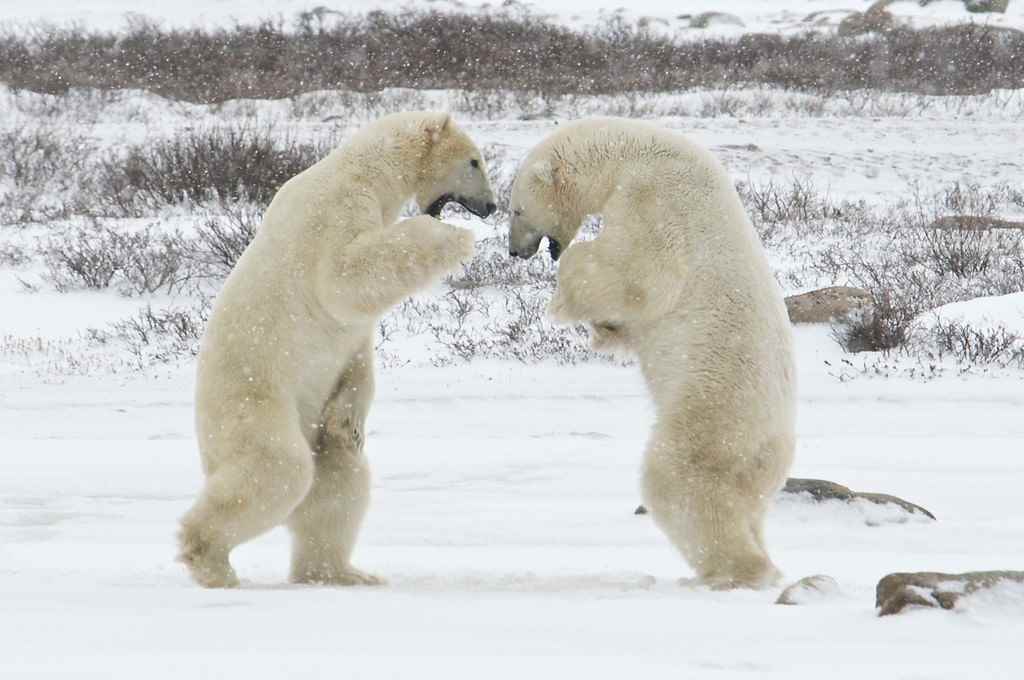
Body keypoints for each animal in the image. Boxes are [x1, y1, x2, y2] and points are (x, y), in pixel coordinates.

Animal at [179, 110, 495, 585]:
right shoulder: (333, 214)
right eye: (474, 161)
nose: (491, 206)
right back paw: (211, 562)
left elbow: (357, 347)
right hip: (253, 402)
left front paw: (352, 421)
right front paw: (455, 237)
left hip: (306, 419)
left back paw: (342, 573)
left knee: (338, 480)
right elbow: (347, 276)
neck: (362, 170)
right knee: (278, 469)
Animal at [507, 118, 794, 589]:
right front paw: (605, 331)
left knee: (681, 482)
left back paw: (737, 570)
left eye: (515, 210)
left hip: (712, 414)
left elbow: (635, 274)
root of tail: (771, 446)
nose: (515, 250)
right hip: (756, 460)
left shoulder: (655, 201)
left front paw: (565, 296)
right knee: (748, 507)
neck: (633, 153)